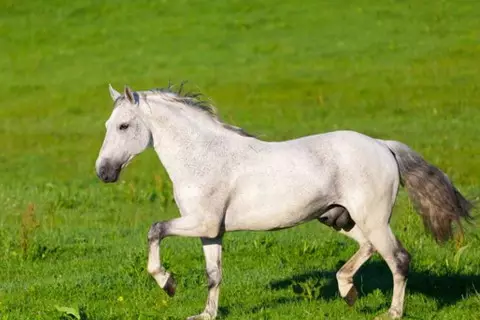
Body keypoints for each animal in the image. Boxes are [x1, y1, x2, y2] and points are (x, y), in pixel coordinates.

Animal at [94, 84, 472, 318]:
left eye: (124, 126)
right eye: (108, 124)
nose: (103, 172)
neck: (202, 157)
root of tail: (382, 145)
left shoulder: (201, 222)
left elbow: (155, 229)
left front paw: (167, 283)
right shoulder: (211, 231)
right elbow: (214, 275)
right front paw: (205, 314)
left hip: (373, 218)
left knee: (398, 259)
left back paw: (391, 312)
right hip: (338, 217)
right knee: (368, 248)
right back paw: (347, 291)